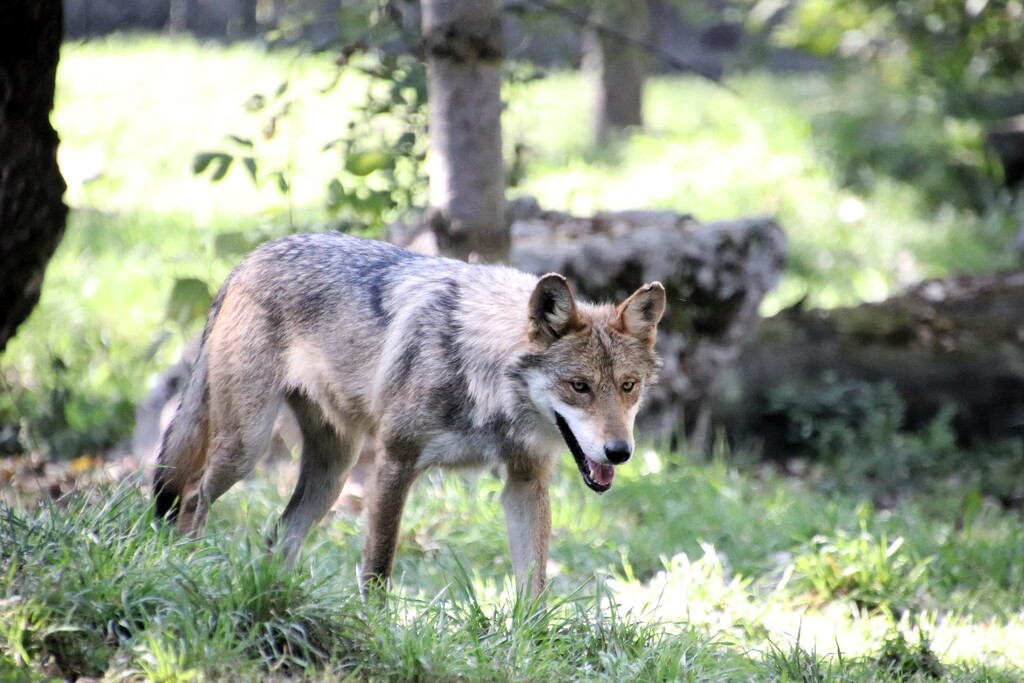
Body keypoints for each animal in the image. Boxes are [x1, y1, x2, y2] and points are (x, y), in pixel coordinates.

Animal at [149, 232, 663, 593]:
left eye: (628, 387)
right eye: (579, 387)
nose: (620, 452)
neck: (481, 372)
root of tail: (251, 258)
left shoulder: (525, 482)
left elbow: (533, 584)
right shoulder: (395, 463)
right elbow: (378, 569)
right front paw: (373, 629)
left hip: (333, 474)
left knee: (279, 535)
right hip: (248, 447)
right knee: (192, 496)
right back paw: (187, 567)